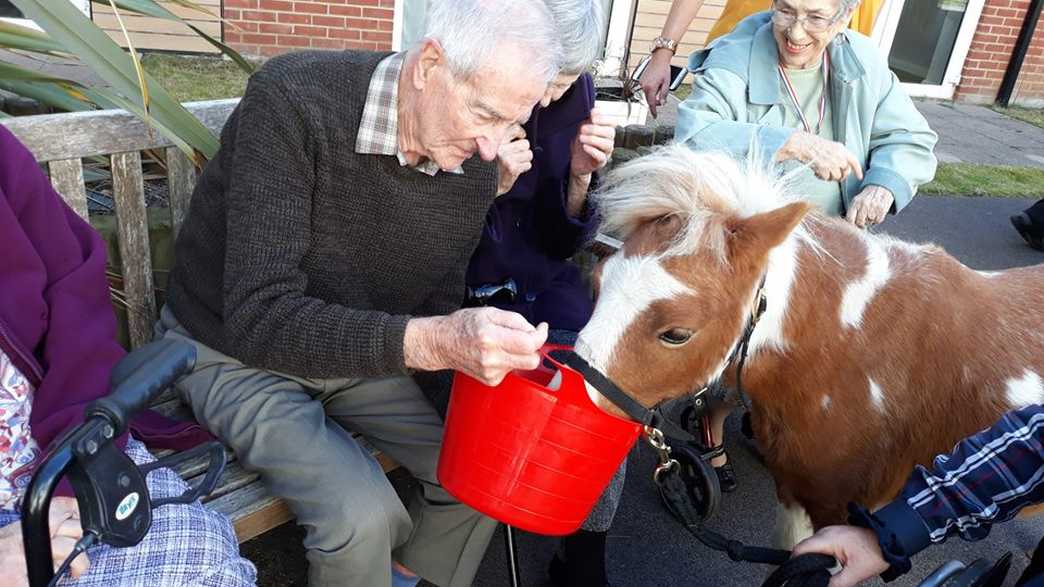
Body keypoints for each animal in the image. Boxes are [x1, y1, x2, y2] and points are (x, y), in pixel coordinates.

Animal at [576, 144, 1044, 547]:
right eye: (596, 284)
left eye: (676, 333)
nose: (570, 395)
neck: (848, 350)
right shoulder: (798, 492)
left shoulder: (845, 515)